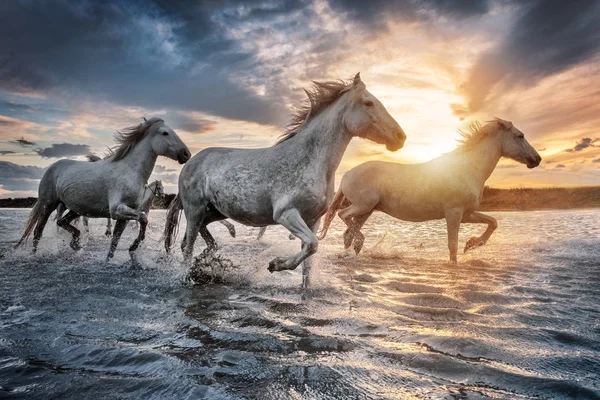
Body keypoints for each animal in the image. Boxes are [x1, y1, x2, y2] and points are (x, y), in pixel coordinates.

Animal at [15, 116, 190, 260]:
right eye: (165, 133)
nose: (186, 154)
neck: (129, 170)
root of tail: (52, 167)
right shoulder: (117, 210)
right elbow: (143, 218)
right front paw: (133, 246)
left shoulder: (125, 215)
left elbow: (115, 242)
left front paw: (115, 257)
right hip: (48, 205)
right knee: (38, 232)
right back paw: (34, 255)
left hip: (75, 208)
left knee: (61, 222)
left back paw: (76, 243)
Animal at [165, 74, 408, 288]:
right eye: (368, 102)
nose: (400, 137)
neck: (310, 161)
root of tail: (191, 161)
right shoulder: (286, 214)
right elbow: (312, 244)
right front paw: (275, 265)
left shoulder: (313, 221)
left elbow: (308, 264)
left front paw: (303, 289)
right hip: (195, 209)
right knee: (187, 246)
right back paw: (188, 277)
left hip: (215, 211)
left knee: (199, 237)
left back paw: (209, 257)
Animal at [322, 117, 540, 264]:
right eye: (519, 135)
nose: (537, 159)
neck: (469, 168)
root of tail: (347, 174)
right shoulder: (454, 213)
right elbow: (452, 246)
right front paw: (458, 259)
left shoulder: (466, 214)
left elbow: (493, 222)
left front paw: (472, 244)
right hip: (363, 205)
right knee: (343, 216)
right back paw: (360, 242)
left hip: (367, 210)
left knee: (348, 233)